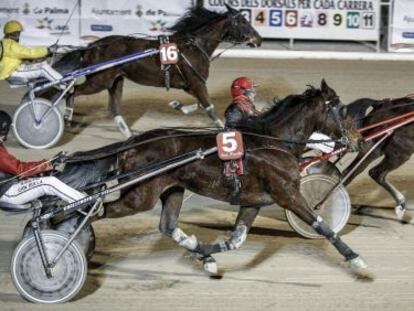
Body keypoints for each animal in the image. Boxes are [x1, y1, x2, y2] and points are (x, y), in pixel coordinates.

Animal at [43, 4, 260, 136]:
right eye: (243, 21)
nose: (258, 39)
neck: (194, 45)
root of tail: (93, 46)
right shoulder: (196, 83)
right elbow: (210, 109)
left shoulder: (193, 85)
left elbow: (200, 105)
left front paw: (177, 105)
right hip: (99, 80)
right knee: (72, 91)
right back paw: (65, 117)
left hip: (115, 81)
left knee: (114, 108)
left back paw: (128, 136)